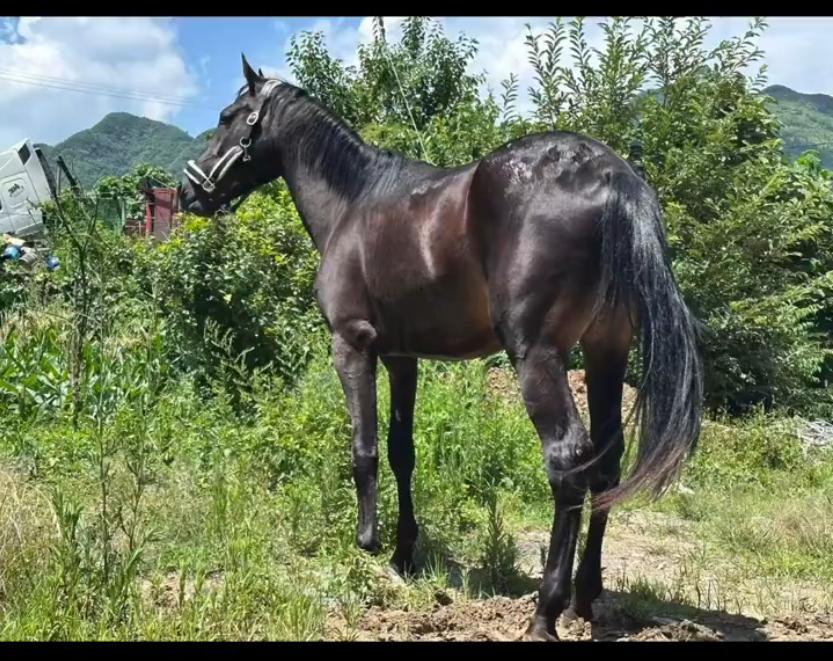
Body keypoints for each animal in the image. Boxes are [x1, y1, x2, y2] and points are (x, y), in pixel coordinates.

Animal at [179, 54, 704, 641]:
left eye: (228, 118)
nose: (188, 193)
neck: (353, 203)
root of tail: (612, 176)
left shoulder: (351, 346)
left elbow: (364, 449)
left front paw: (367, 543)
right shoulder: (401, 357)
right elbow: (401, 450)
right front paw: (404, 552)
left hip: (540, 358)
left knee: (568, 463)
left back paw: (545, 612)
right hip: (605, 352)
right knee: (607, 466)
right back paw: (585, 598)